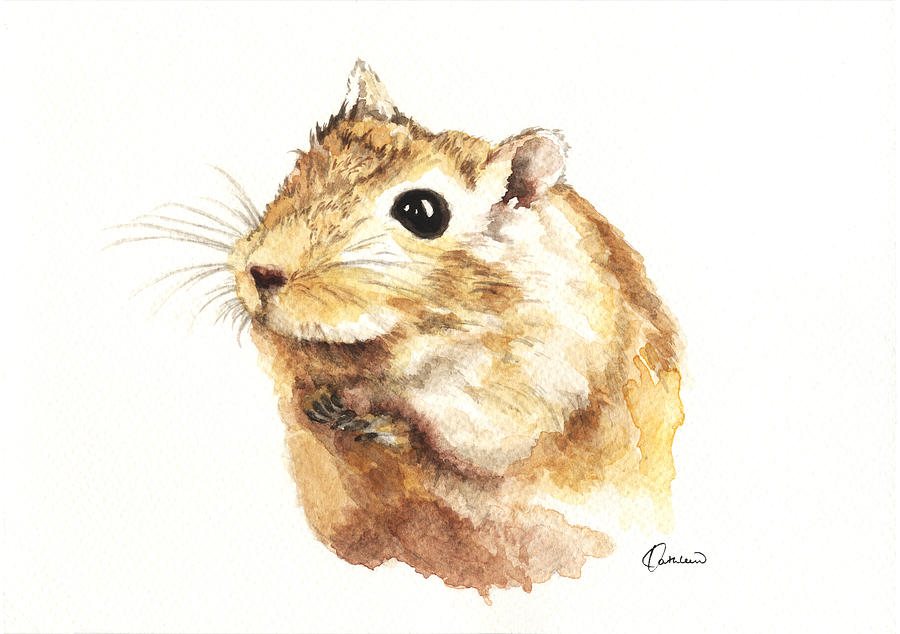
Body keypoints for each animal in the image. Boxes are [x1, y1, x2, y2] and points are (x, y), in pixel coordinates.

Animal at [225, 61, 684, 598]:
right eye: (302, 165)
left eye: (421, 212)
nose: (259, 272)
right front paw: (323, 397)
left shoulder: (519, 395)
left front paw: (366, 413)